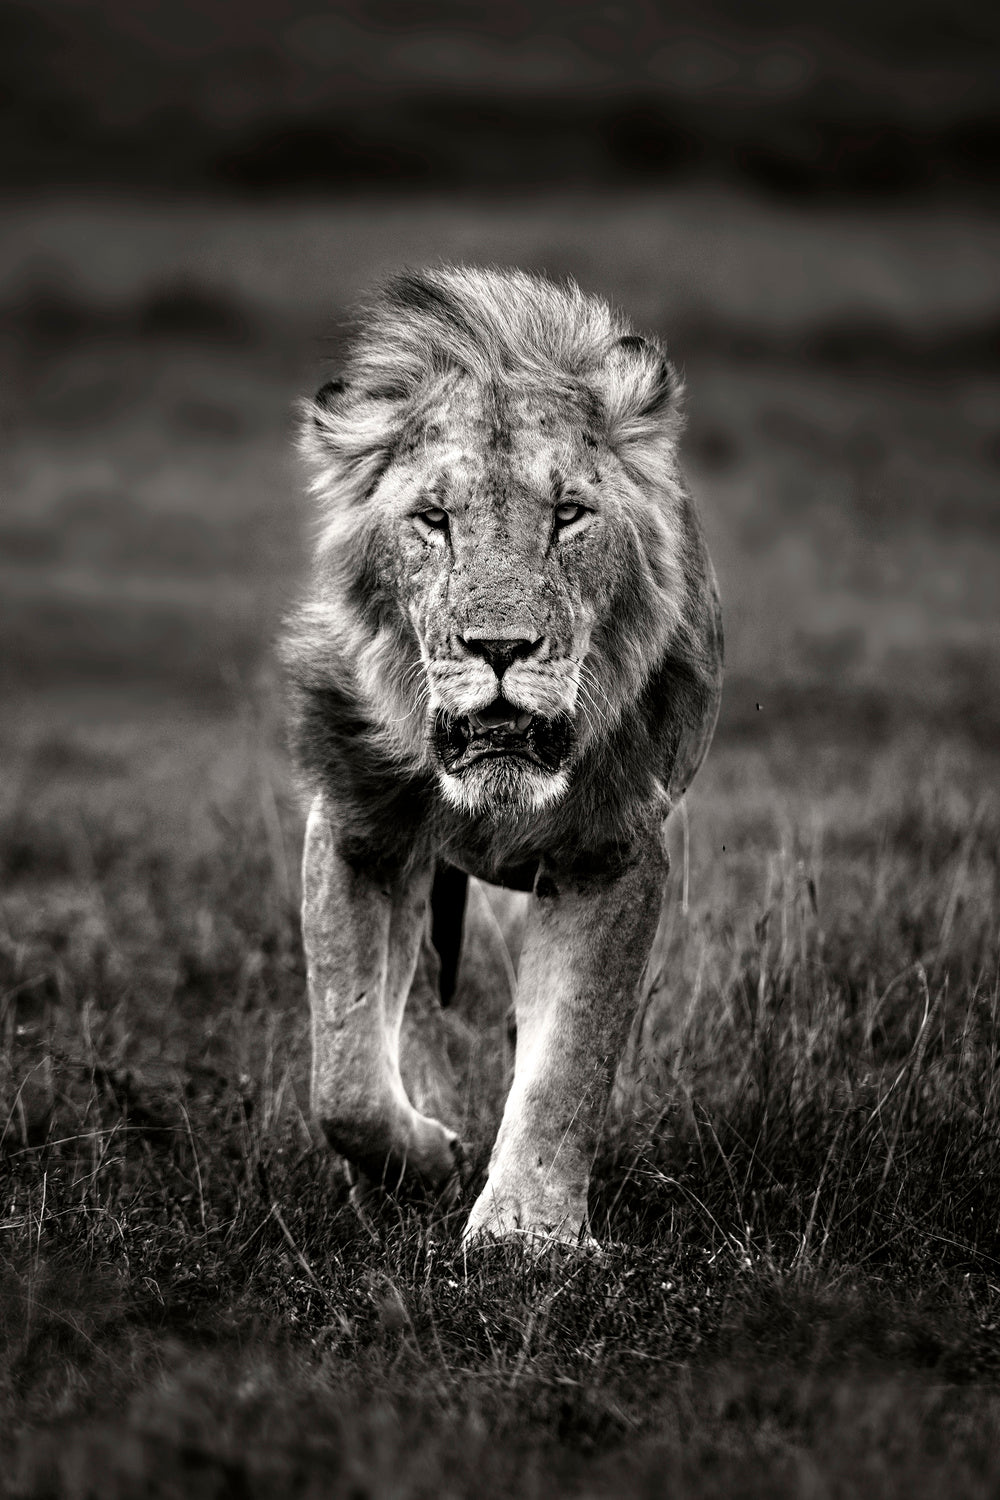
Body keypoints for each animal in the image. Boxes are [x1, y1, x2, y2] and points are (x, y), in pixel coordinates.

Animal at [281, 265, 723, 1247]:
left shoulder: (609, 855)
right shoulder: (359, 829)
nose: (500, 648)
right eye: (432, 520)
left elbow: (570, 1064)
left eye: (568, 516)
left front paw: (528, 1234)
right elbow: (343, 1076)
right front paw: (421, 1163)